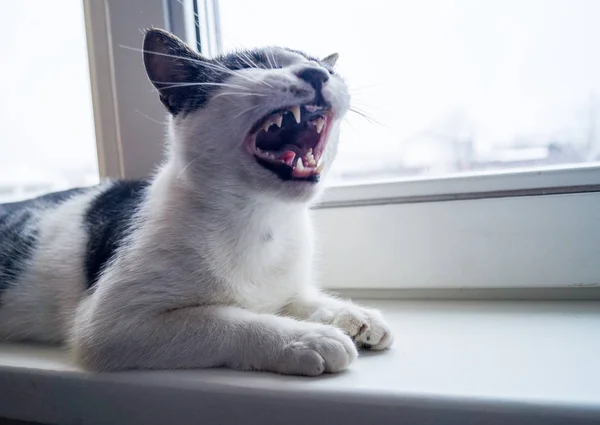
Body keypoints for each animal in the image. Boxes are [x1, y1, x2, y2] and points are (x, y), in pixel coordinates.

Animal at [0, 29, 394, 374]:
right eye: (251, 66)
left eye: (327, 69)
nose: (318, 72)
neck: (262, 221)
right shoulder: (109, 325)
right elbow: (226, 319)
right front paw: (307, 338)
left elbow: (299, 297)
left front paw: (351, 315)